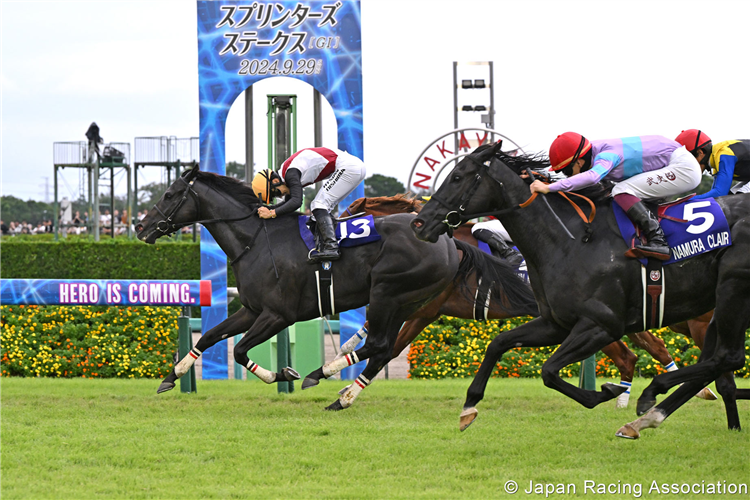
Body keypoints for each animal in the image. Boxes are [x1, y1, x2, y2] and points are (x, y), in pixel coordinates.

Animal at [137, 168, 462, 410]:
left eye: (169, 195)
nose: (141, 228)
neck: (255, 239)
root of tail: (447, 241)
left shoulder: (279, 315)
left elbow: (240, 350)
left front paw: (282, 374)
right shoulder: (251, 309)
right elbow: (208, 337)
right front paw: (172, 376)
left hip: (386, 295)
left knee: (379, 345)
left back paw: (321, 376)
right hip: (407, 303)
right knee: (383, 350)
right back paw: (341, 397)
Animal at [412, 143, 750, 440]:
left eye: (457, 177)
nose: (419, 223)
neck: (570, 241)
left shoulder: (601, 325)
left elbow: (549, 370)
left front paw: (606, 391)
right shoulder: (557, 323)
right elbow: (499, 343)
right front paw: (468, 407)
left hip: (731, 292)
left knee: (728, 358)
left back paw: (652, 393)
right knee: (718, 363)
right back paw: (645, 418)